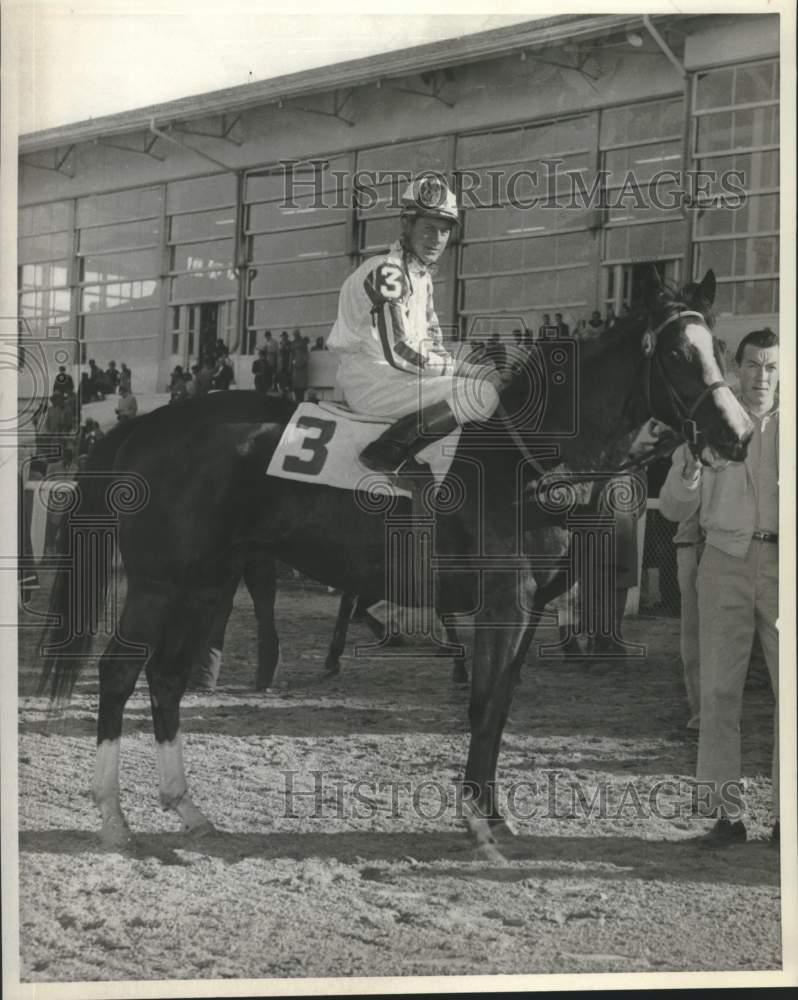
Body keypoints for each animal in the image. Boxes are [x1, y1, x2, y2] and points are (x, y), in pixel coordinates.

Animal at [39, 270, 756, 856]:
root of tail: (145, 425)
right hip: (160, 584)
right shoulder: (505, 604)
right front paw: (476, 821)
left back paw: (186, 807)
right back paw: (113, 819)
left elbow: (501, 706)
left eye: (717, 350)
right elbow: (484, 705)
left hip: (207, 585)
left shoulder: (529, 611)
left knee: (164, 679)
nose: (739, 432)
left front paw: (493, 814)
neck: (526, 457)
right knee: (118, 674)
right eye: (676, 353)